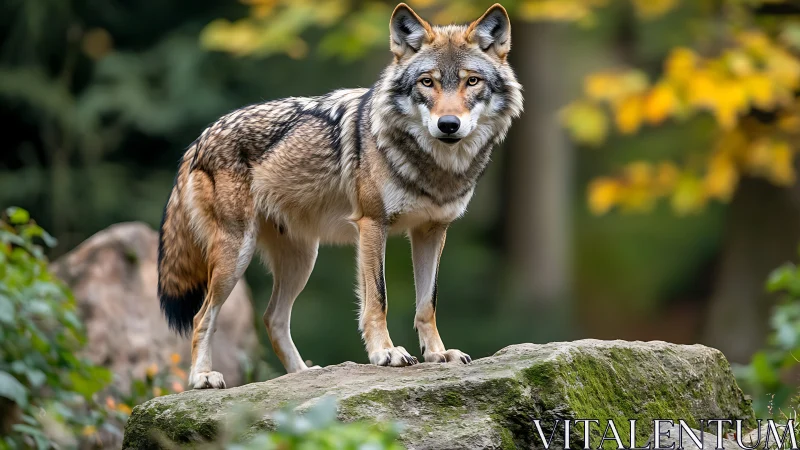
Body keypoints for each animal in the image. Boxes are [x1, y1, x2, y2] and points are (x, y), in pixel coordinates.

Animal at [157, 3, 523, 389]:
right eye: (427, 82)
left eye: (472, 81)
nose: (448, 124)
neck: (436, 168)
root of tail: (199, 139)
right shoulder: (372, 224)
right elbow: (378, 298)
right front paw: (386, 353)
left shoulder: (432, 231)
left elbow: (428, 303)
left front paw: (438, 354)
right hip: (235, 257)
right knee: (201, 317)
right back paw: (202, 377)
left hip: (302, 260)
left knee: (273, 318)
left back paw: (305, 374)